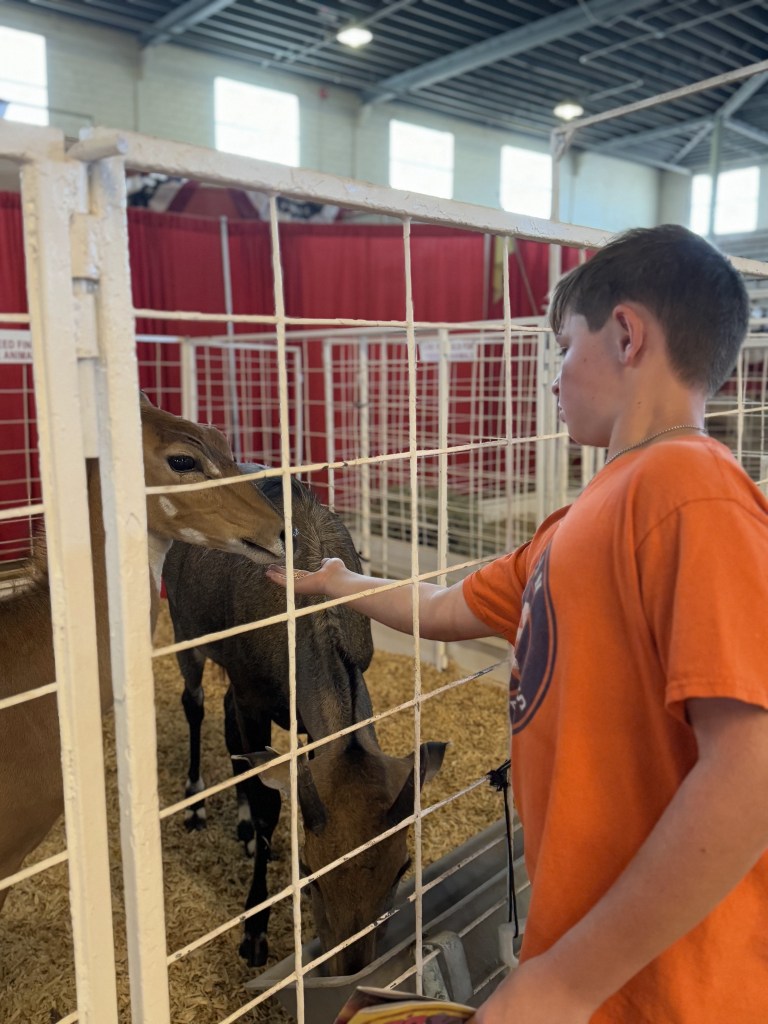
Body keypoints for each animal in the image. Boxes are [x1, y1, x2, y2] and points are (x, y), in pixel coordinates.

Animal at [163, 475, 447, 973]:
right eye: (309, 875)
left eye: (402, 869)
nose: (351, 966)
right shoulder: (252, 697)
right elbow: (268, 805)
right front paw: (254, 932)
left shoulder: (306, 725)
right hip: (185, 631)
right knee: (195, 704)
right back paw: (196, 805)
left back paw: (240, 829)